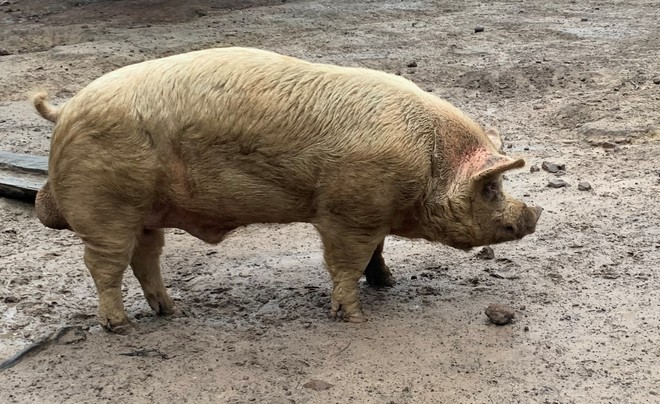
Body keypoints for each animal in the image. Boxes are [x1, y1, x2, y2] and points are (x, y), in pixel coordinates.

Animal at [31, 47, 542, 332]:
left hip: (144, 212)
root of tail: (64, 111)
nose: (534, 214)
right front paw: (355, 318)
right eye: (492, 187)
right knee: (105, 265)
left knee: (145, 258)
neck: (431, 162)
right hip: (106, 207)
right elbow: (346, 263)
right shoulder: (346, 212)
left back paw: (169, 312)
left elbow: (376, 251)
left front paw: (388, 282)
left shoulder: (370, 209)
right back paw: (120, 328)